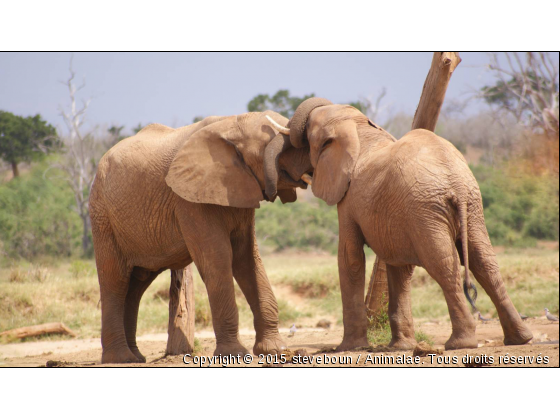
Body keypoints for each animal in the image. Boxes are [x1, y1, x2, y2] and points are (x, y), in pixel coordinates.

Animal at [89, 111, 312, 364]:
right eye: (276, 147)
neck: (231, 123)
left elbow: (247, 260)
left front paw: (274, 351)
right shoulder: (189, 200)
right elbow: (218, 258)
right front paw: (234, 355)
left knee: (136, 286)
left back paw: (136, 358)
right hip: (103, 217)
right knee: (115, 281)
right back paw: (121, 359)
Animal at [270, 97, 536, 352]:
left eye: (307, 138)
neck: (358, 127)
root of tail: (456, 183)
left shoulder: (348, 198)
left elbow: (350, 257)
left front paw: (348, 348)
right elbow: (398, 264)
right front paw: (401, 347)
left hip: (427, 208)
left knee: (442, 264)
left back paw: (460, 344)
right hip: (470, 206)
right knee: (485, 261)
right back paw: (520, 339)